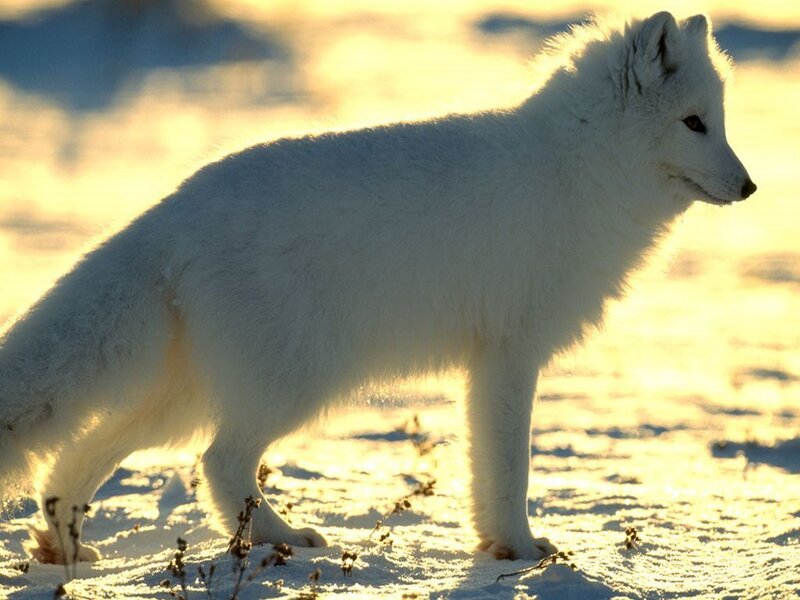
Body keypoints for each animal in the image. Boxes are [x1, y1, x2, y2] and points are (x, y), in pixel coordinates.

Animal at [0, 11, 755, 564]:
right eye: (694, 123)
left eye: (719, 122)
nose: (750, 187)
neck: (577, 168)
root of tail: (179, 206)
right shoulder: (511, 354)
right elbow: (510, 466)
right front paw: (521, 549)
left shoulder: (487, 363)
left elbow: (486, 467)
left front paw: (496, 545)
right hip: (294, 381)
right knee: (218, 462)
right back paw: (282, 538)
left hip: (184, 395)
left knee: (80, 456)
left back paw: (65, 548)